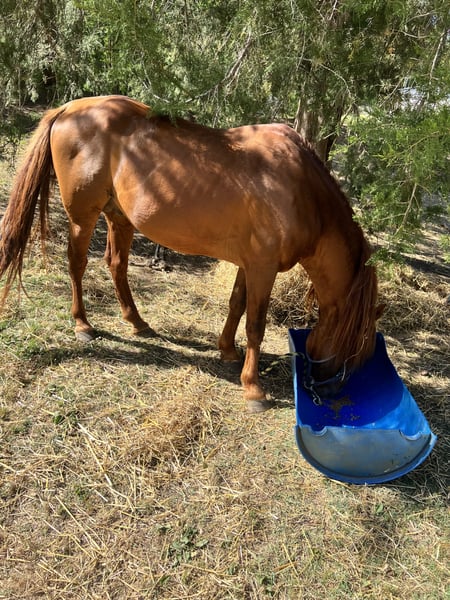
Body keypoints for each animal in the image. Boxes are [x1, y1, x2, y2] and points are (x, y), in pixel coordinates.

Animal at [0, 95, 382, 412]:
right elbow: (255, 324)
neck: (300, 190)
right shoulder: (263, 267)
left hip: (118, 216)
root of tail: (69, 108)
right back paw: (83, 324)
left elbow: (236, 304)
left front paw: (227, 350)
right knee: (77, 263)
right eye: (356, 345)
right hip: (83, 216)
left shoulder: (250, 264)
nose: (329, 390)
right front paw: (253, 388)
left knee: (116, 265)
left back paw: (137, 322)